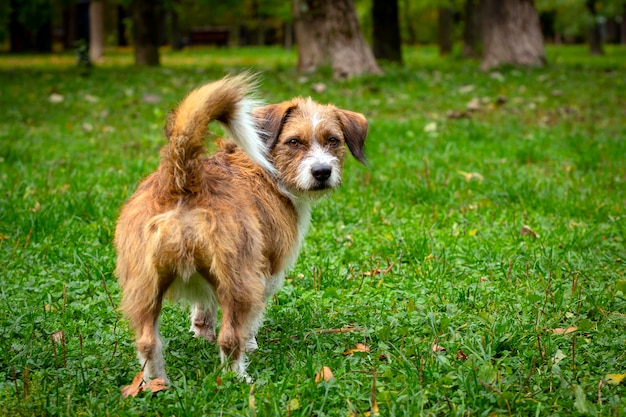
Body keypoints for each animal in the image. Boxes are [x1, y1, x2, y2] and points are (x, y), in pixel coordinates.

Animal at [113, 73, 366, 382]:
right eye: (294, 142)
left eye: (333, 140)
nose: (322, 172)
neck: (265, 165)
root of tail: (182, 179)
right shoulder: (267, 271)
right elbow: (252, 320)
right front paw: (251, 343)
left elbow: (204, 302)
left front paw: (201, 329)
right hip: (239, 279)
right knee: (229, 337)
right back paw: (238, 378)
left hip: (143, 286)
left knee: (147, 341)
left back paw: (156, 383)